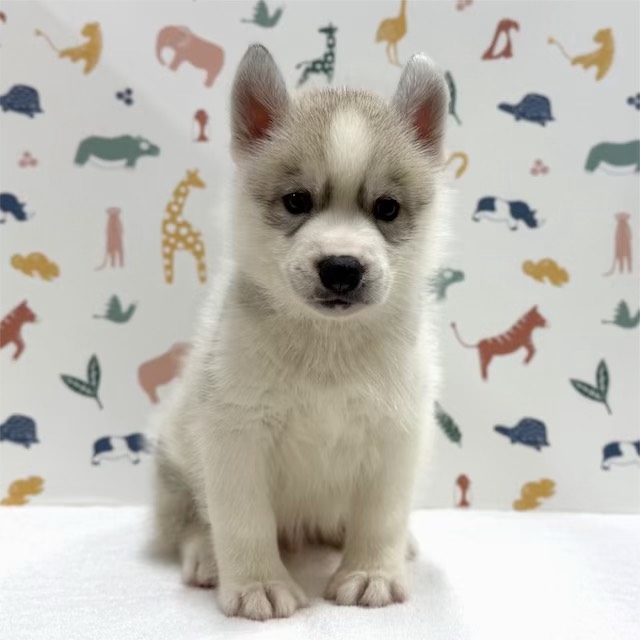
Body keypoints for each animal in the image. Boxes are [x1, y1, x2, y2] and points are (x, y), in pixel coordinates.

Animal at [150, 44, 449, 620]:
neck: (328, 344)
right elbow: (243, 522)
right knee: (190, 519)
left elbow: (381, 516)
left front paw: (372, 572)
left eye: (387, 208)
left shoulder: (396, 434)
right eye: (296, 201)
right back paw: (206, 556)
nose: (341, 268)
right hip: (176, 455)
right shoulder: (234, 434)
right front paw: (257, 584)